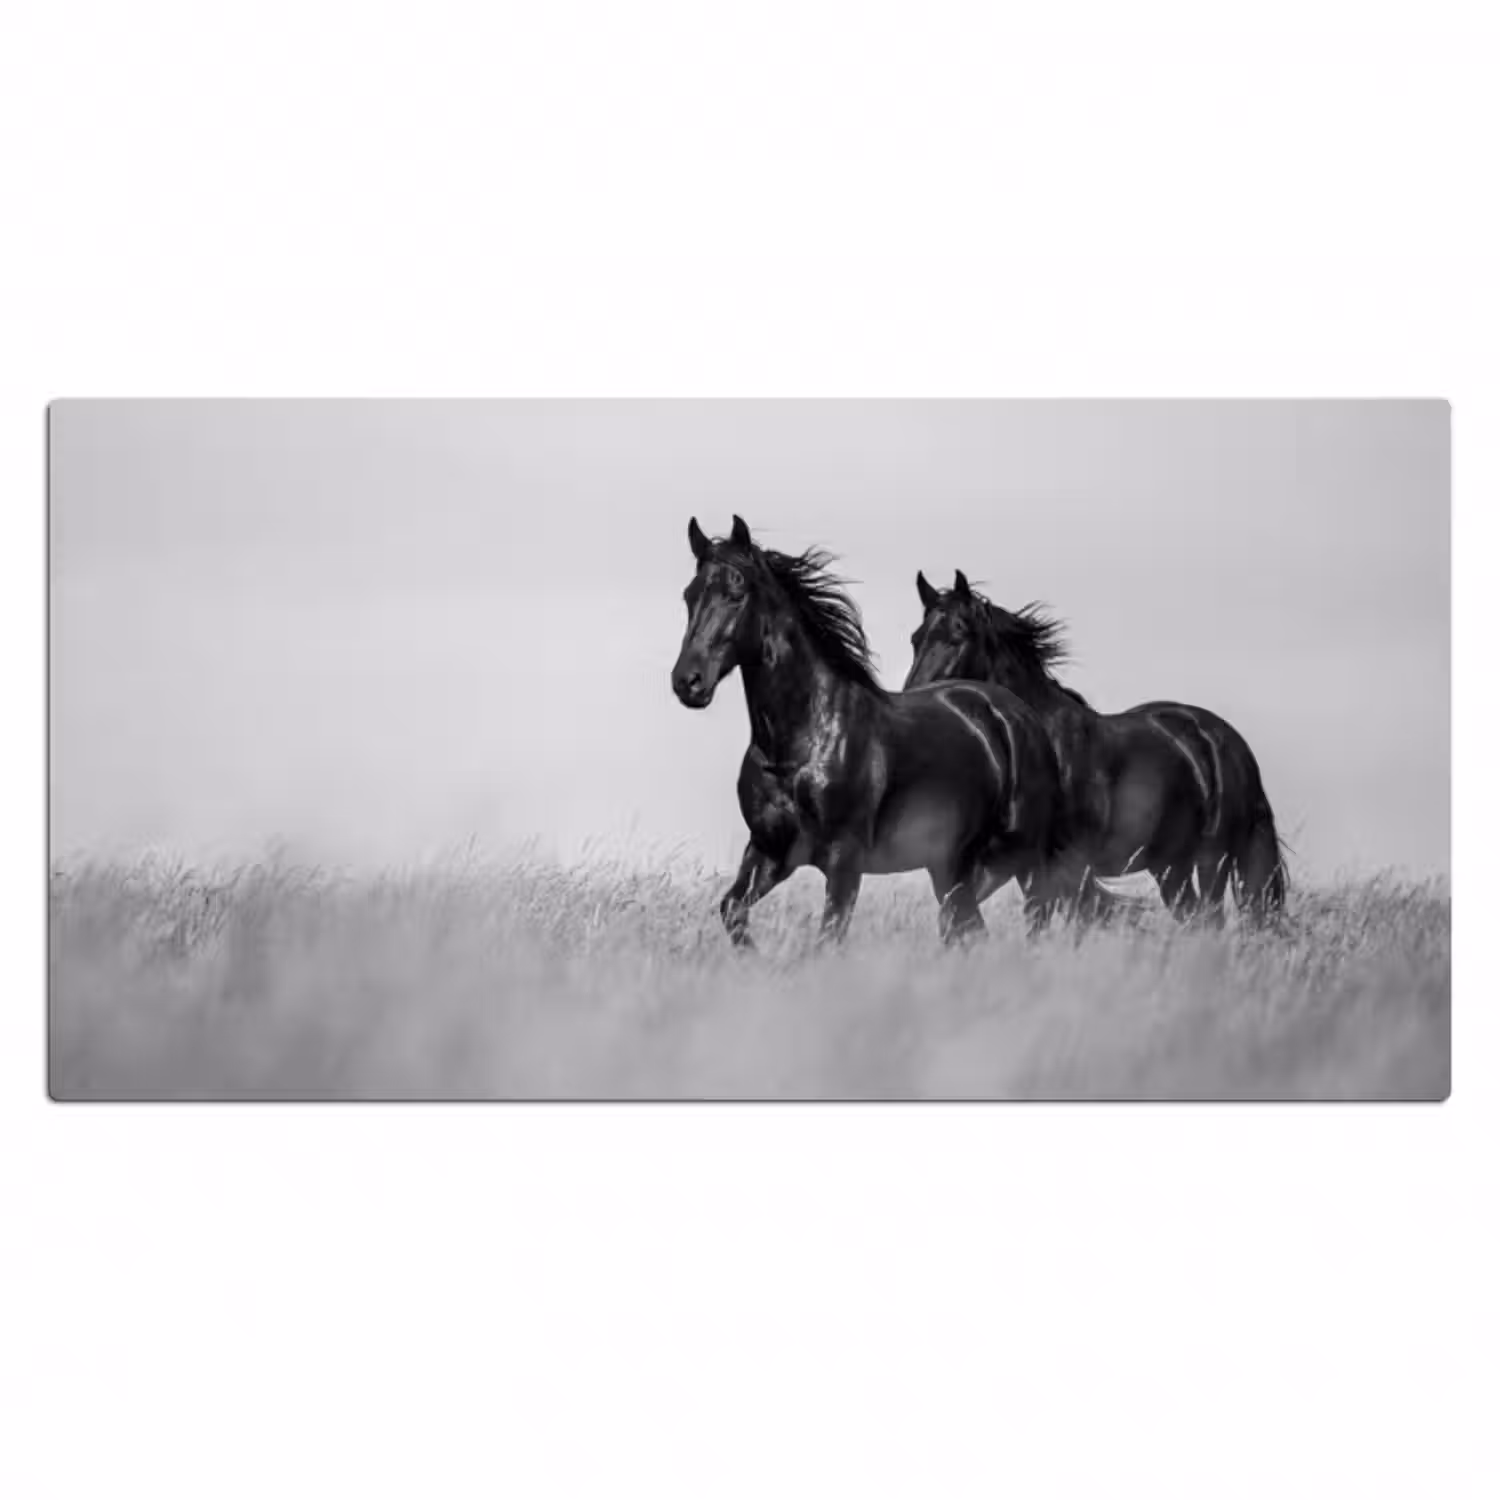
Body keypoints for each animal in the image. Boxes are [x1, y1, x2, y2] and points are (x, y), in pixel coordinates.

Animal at [671, 516, 1069, 946]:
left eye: (736, 592)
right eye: (689, 595)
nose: (688, 682)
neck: (800, 744)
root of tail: (1017, 714)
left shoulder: (844, 859)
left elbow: (829, 937)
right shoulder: (769, 851)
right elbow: (732, 910)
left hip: (1026, 860)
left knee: (1033, 922)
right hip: (951, 867)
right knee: (966, 928)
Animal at [904, 570, 1288, 923]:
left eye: (960, 633)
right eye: (916, 639)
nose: (915, 700)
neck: (1044, 742)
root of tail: (1227, 741)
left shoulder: (1062, 867)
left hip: (1212, 859)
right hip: (1170, 865)